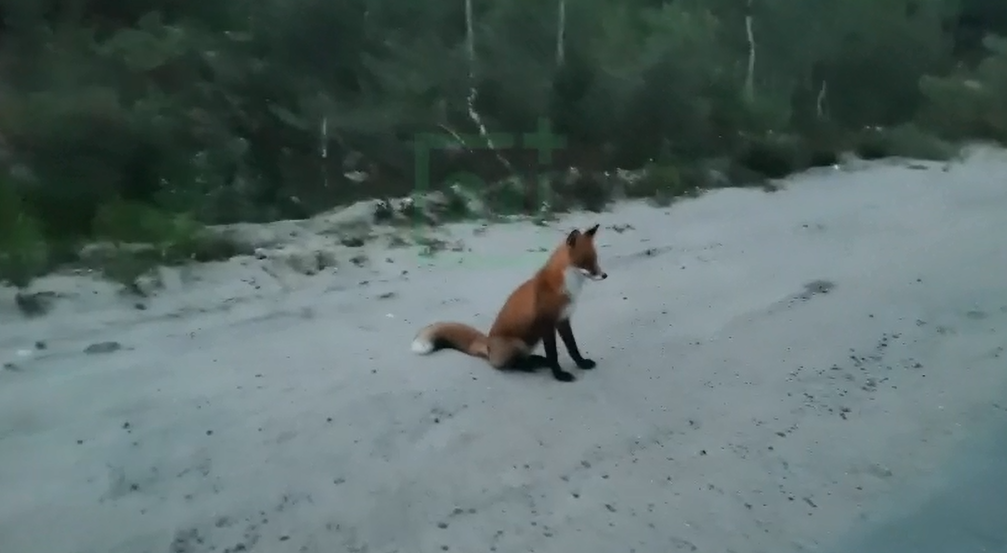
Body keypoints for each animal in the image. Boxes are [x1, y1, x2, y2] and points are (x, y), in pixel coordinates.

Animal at [411, 223, 607, 382]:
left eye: (596, 259)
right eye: (585, 262)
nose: (604, 275)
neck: (566, 286)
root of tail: (488, 345)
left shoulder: (563, 320)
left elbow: (572, 347)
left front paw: (582, 364)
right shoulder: (546, 324)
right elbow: (553, 354)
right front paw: (559, 375)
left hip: (530, 342)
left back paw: (537, 361)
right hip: (517, 344)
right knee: (508, 365)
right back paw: (529, 366)